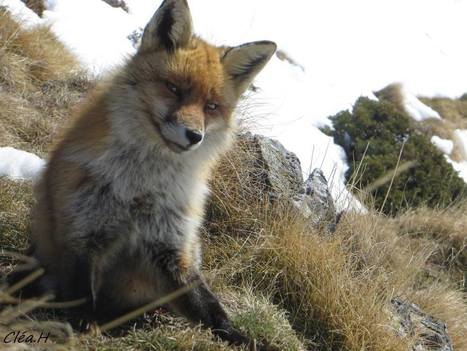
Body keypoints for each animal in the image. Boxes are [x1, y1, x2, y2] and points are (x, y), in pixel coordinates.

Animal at [13, 0, 278, 350]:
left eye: (211, 106)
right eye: (174, 89)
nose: (194, 136)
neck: (142, 190)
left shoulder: (172, 248)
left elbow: (209, 306)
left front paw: (241, 337)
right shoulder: (83, 232)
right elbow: (81, 292)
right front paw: (84, 324)